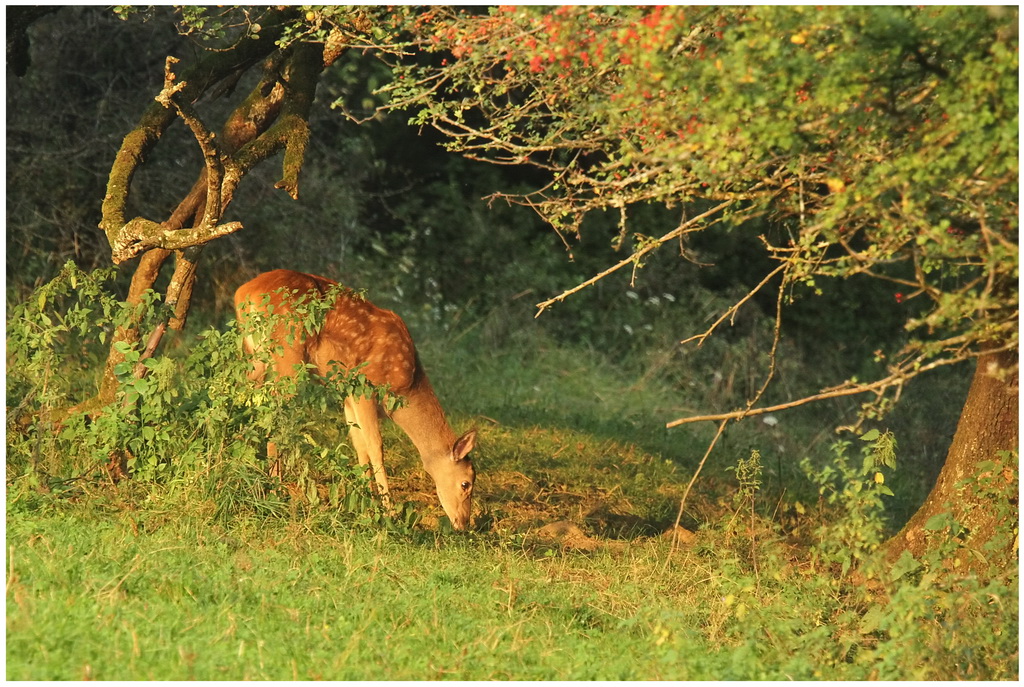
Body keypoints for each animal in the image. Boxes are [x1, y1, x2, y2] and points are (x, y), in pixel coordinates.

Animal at [232, 272, 475, 528]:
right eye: (466, 483)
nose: (464, 523)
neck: (407, 386)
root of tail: (243, 293)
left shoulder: (347, 396)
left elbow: (360, 445)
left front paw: (365, 503)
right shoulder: (365, 386)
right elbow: (375, 446)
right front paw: (389, 511)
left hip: (256, 357)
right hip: (287, 353)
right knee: (275, 417)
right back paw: (274, 490)